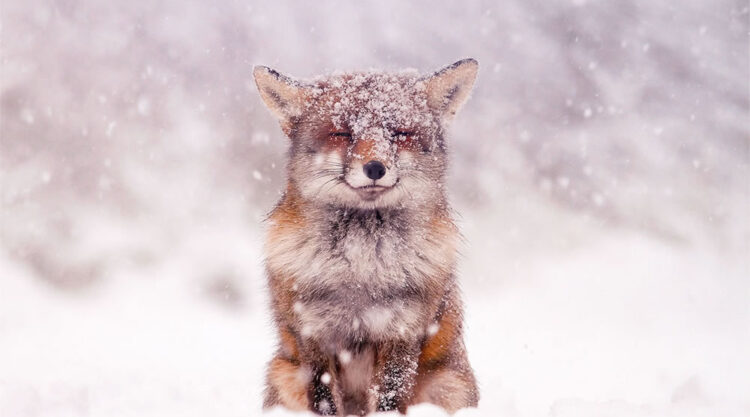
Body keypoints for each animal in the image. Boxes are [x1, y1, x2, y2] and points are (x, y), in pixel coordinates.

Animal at [256, 59, 482, 416]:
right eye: (342, 134)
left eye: (400, 133)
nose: (375, 168)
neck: (360, 268)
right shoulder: (312, 334)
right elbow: (324, 399)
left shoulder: (403, 331)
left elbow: (389, 397)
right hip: (283, 375)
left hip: (448, 386)